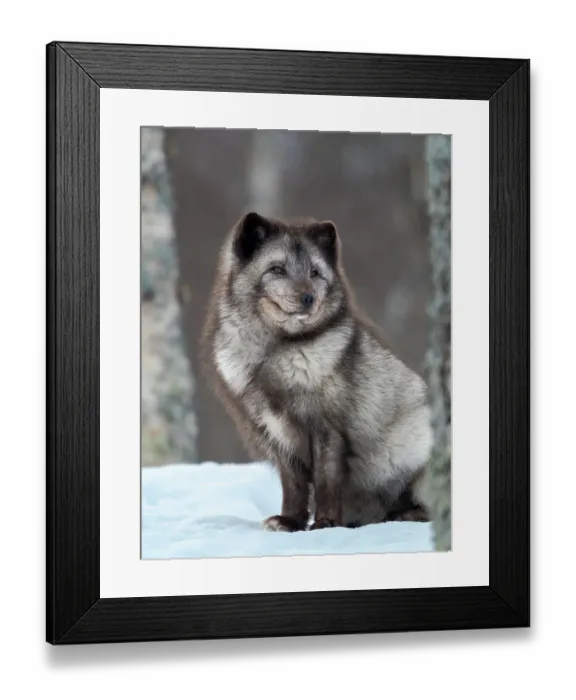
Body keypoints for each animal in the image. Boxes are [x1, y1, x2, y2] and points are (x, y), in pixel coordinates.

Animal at [200, 211, 433, 532]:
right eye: (277, 269)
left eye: (314, 272)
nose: (308, 298)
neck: (276, 351)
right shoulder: (276, 433)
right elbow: (293, 485)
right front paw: (289, 521)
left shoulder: (329, 427)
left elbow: (325, 481)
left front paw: (325, 523)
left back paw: (407, 515)